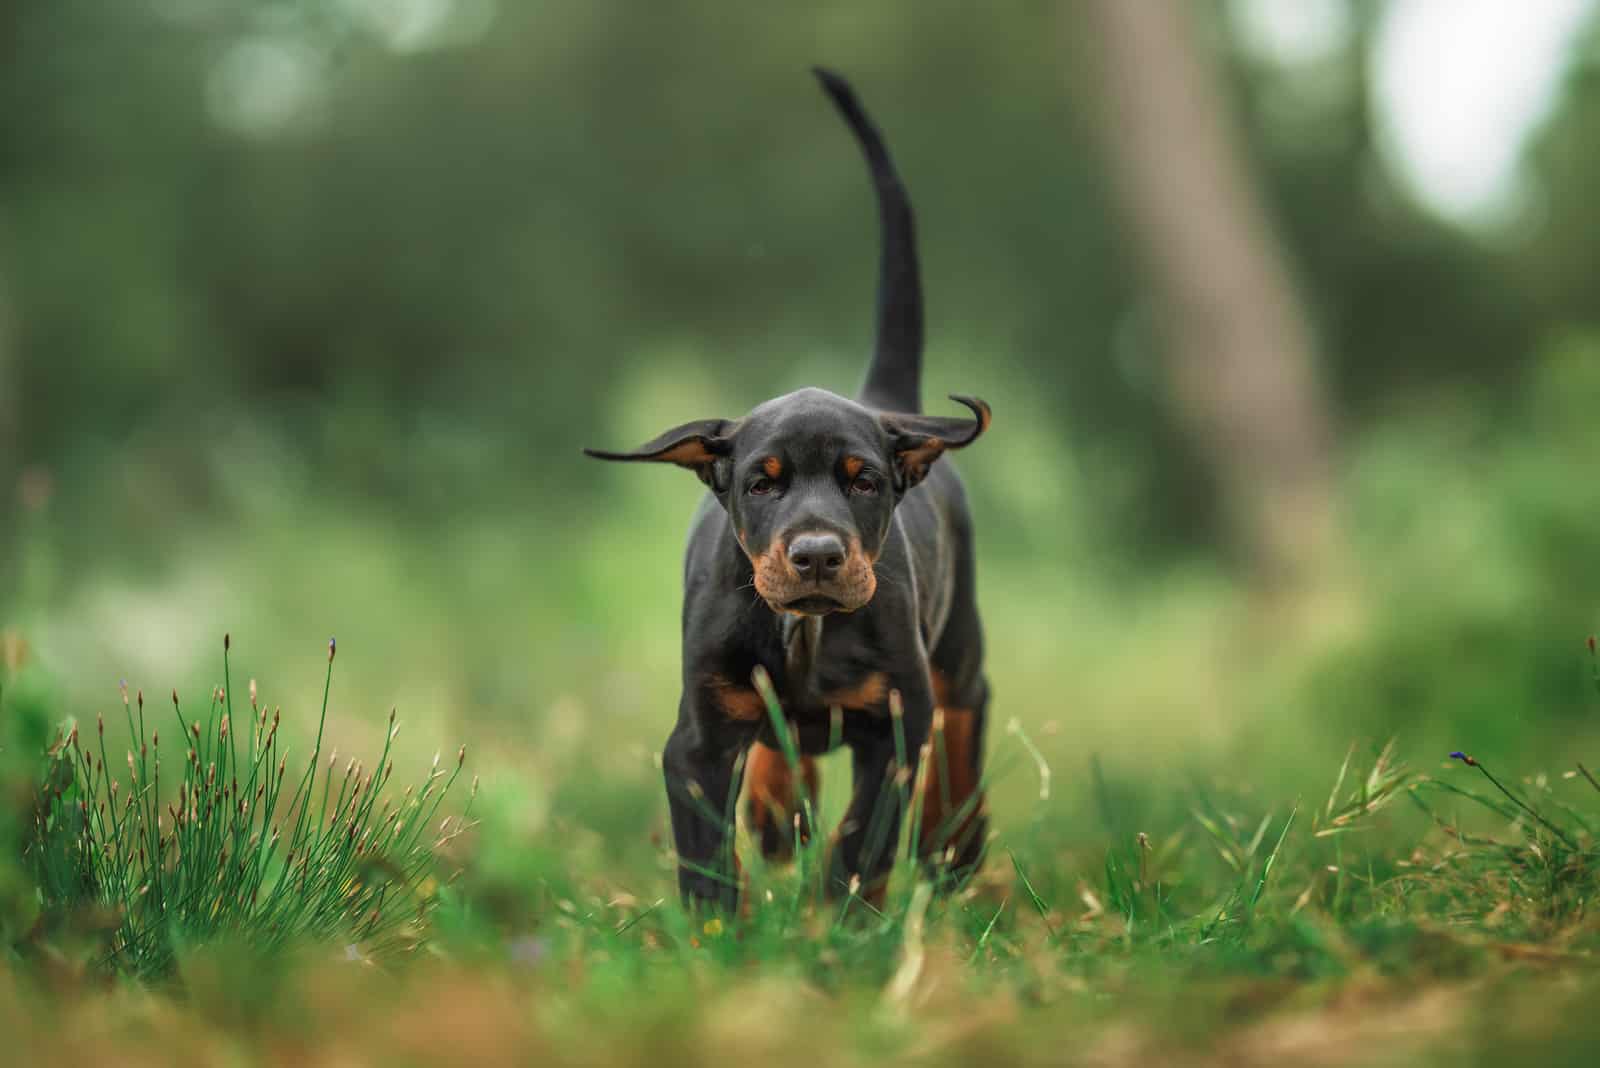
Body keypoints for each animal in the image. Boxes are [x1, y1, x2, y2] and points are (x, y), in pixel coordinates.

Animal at [585, 70, 985, 908]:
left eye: (864, 482)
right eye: (760, 484)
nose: (817, 557)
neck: (805, 633)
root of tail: (885, 398)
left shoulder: (894, 726)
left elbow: (865, 838)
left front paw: (840, 921)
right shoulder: (697, 742)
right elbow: (707, 858)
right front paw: (725, 929)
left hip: (959, 642)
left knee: (965, 723)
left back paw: (956, 844)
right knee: (782, 749)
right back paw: (777, 813)